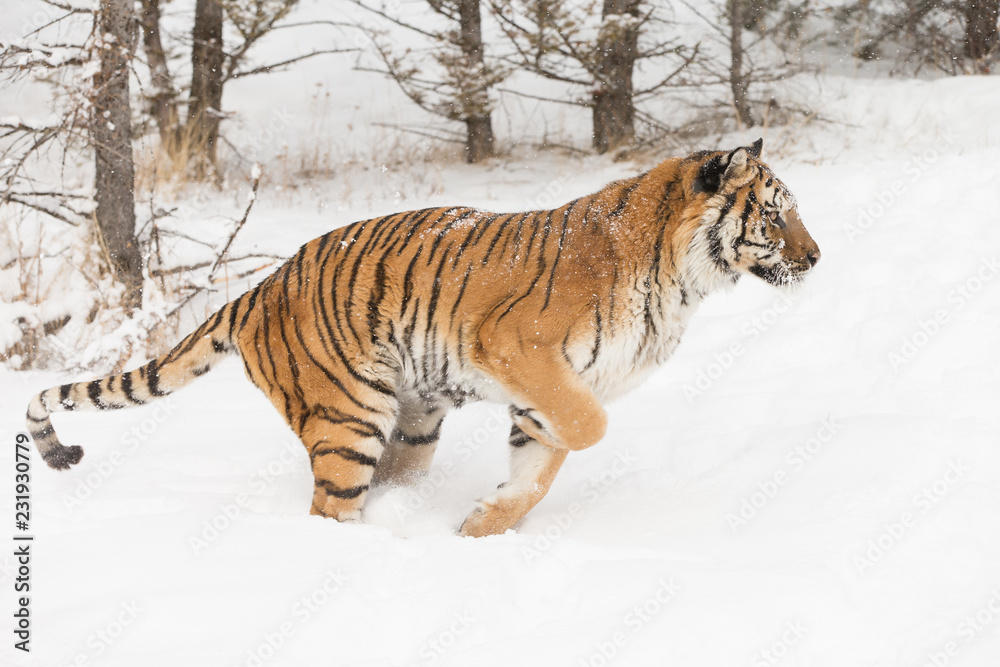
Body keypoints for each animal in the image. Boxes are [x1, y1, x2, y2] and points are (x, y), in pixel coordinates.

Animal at [25, 138, 820, 537]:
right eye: (773, 214)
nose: (816, 258)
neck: (683, 281)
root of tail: (256, 290)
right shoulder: (526, 355)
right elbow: (586, 428)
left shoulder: (546, 387)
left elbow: (538, 468)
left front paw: (482, 528)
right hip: (349, 415)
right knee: (328, 508)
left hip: (412, 420)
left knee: (383, 481)